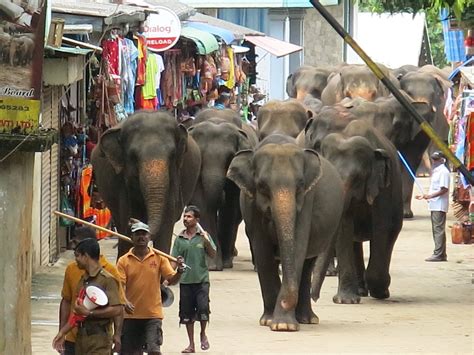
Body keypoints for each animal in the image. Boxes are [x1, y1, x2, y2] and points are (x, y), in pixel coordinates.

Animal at [91, 110, 201, 258]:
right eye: (133, 157)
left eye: (172, 155)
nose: (133, 221)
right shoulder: (122, 183)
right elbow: (129, 216)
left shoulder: (174, 179)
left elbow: (165, 226)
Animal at [189, 118, 254, 272]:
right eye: (201, 154)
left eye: (230, 156)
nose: (221, 197)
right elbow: (201, 202)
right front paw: (212, 266)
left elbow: (230, 206)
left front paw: (223, 264)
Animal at [227, 135, 344, 332]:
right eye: (262, 186)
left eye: (301, 185)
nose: (284, 302)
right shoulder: (250, 203)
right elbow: (262, 250)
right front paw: (270, 322)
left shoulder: (307, 200)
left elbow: (298, 245)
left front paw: (283, 325)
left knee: (307, 264)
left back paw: (307, 319)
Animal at [314, 119, 404, 300]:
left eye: (357, 178)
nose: (314, 298)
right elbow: (344, 228)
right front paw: (345, 301)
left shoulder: (383, 188)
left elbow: (381, 228)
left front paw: (378, 292)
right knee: (355, 242)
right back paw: (361, 291)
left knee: (391, 233)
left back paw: (381, 291)